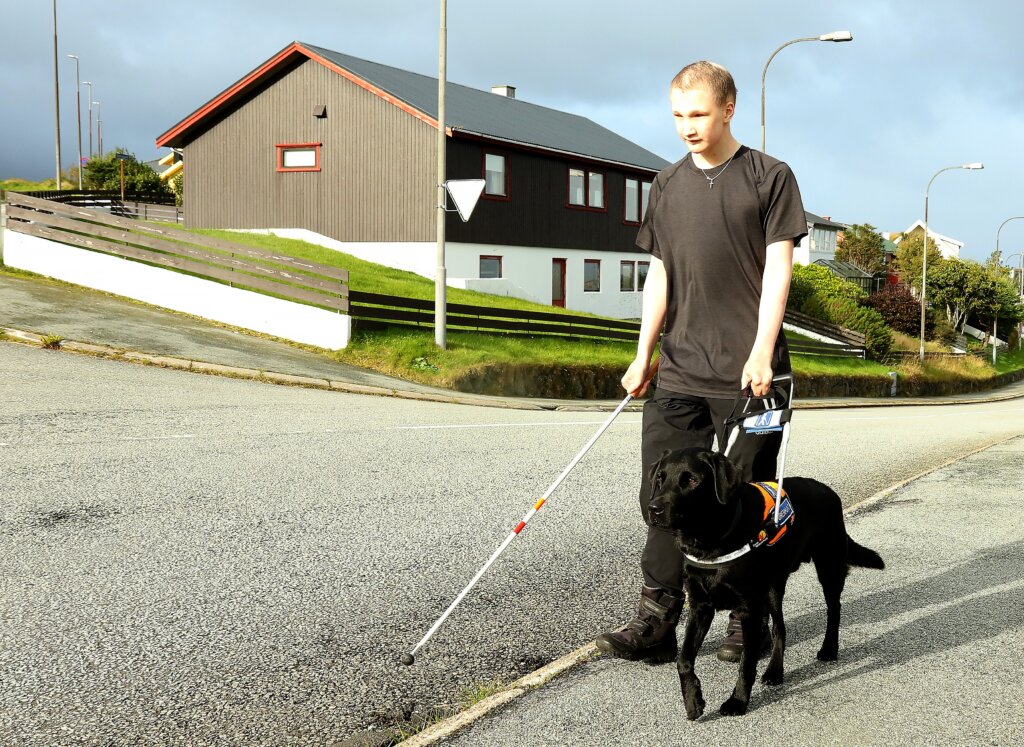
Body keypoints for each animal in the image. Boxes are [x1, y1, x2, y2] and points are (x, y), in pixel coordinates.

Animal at [647, 446, 880, 721]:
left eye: (691, 480)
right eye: (660, 479)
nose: (653, 509)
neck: (710, 540)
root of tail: (829, 491)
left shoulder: (749, 609)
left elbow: (747, 662)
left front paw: (737, 701)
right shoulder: (700, 606)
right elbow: (683, 659)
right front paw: (693, 700)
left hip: (828, 568)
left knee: (834, 610)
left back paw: (829, 649)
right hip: (772, 590)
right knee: (780, 628)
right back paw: (774, 671)